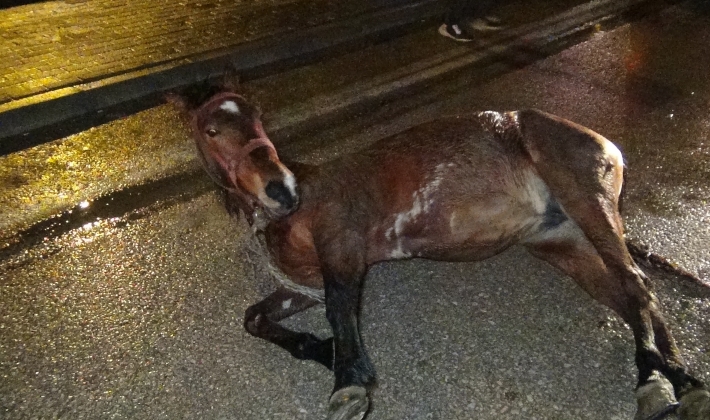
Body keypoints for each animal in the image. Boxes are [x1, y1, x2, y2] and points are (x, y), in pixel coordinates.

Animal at [170, 86, 708, 420]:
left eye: (258, 117)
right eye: (211, 131)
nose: (279, 188)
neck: (299, 204)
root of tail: (606, 144)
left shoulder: (342, 247)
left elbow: (341, 309)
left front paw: (348, 382)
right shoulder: (302, 283)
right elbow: (256, 317)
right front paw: (319, 350)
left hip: (586, 199)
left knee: (634, 285)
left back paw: (653, 380)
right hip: (561, 242)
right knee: (632, 293)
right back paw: (682, 382)